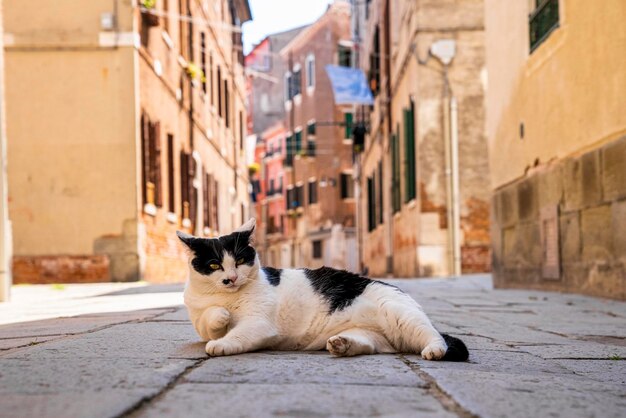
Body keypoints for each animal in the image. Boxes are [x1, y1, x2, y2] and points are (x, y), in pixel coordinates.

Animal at [178, 217, 466, 360]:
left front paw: (221, 343)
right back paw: (343, 345)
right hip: (371, 333)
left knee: (434, 336)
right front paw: (221, 316)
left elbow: (236, 335)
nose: (232, 278)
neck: (226, 297)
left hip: (401, 316)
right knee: (372, 345)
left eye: (239, 260)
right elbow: (209, 320)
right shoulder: (200, 321)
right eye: (214, 265)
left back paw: (435, 350)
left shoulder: (259, 323)